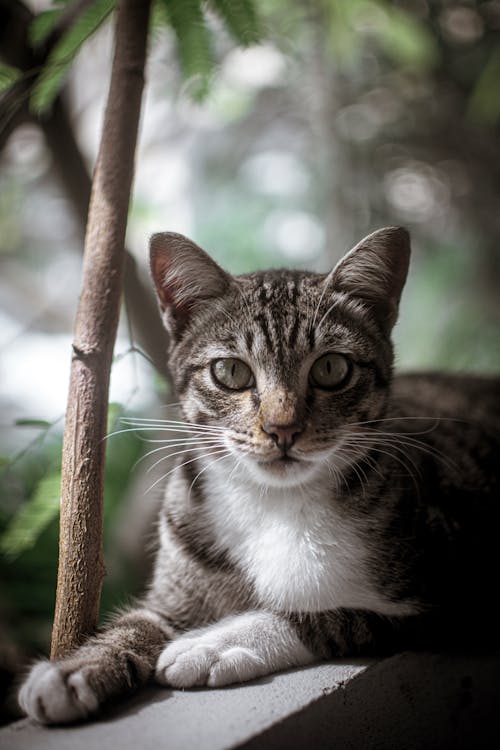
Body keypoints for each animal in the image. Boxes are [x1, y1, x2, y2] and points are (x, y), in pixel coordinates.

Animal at [17, 226, 498, 724]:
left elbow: (334, 614)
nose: (282, 428)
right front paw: (76, 667)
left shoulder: (459, 596)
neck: (277, 502)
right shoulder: (174, 589)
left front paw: (215, 641)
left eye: (331, 368)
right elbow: (139, 622)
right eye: (230, 371)